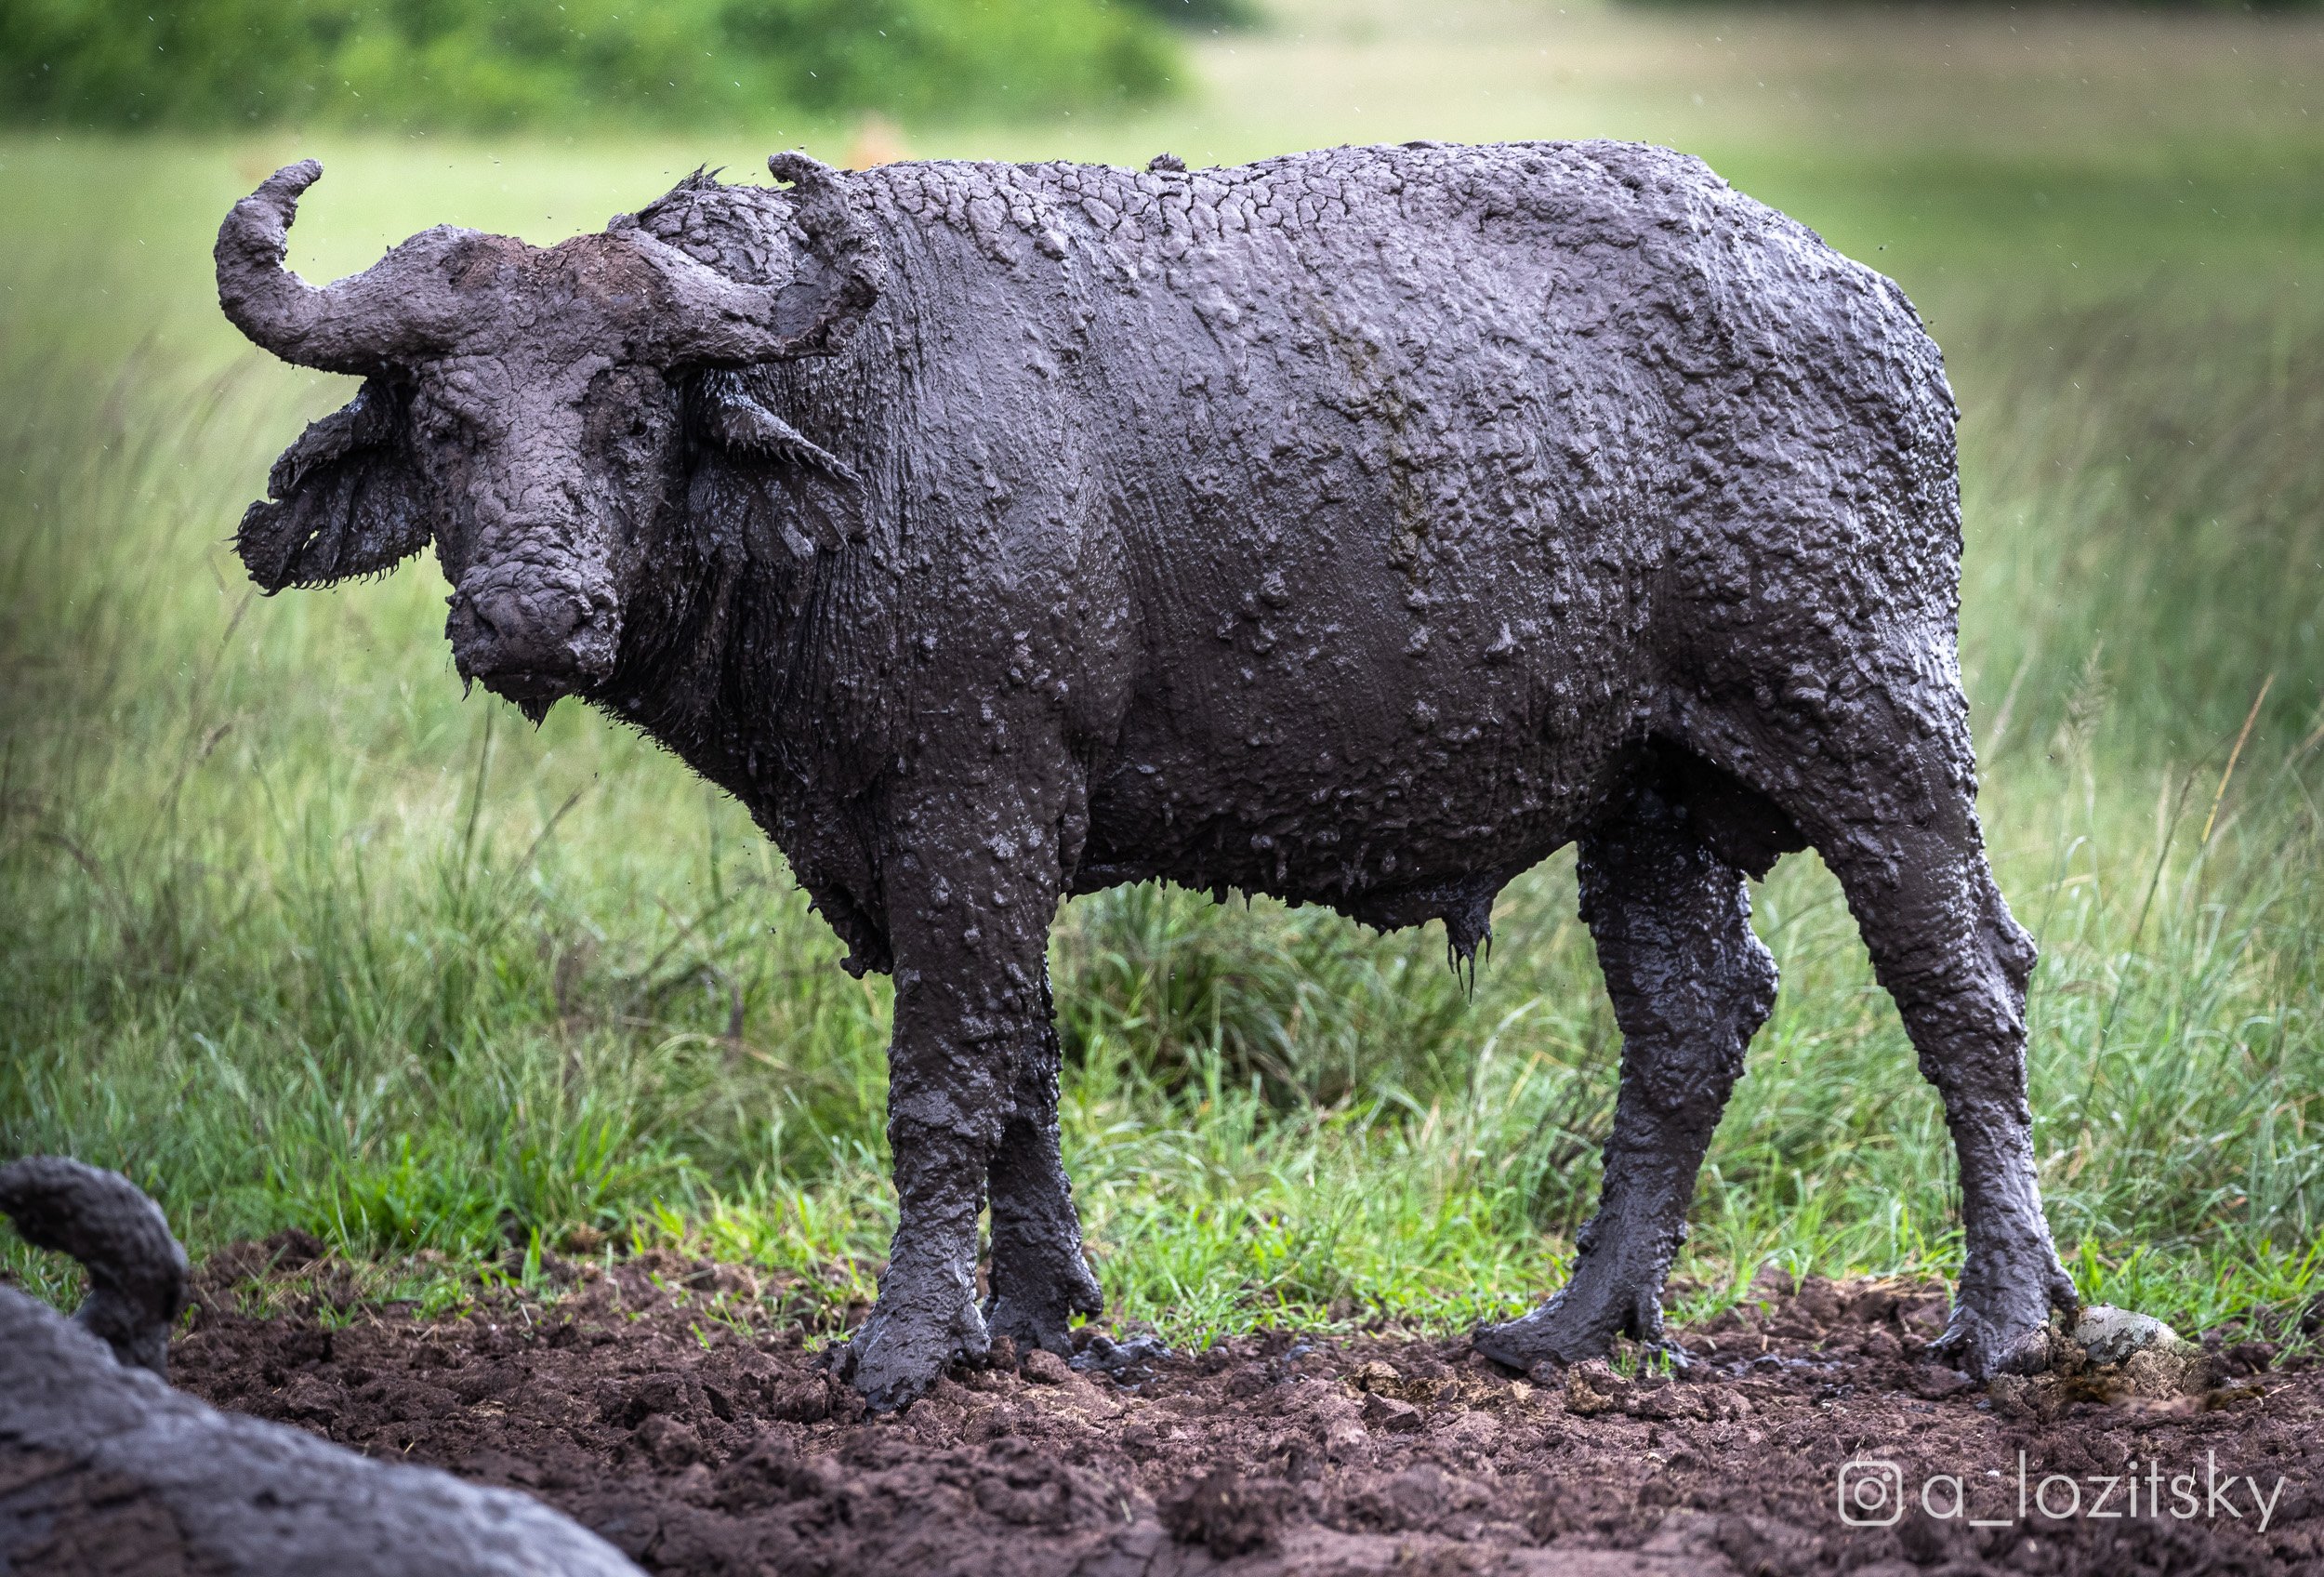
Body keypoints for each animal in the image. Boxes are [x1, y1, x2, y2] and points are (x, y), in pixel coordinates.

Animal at [214, 141, 2073, 1413]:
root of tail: (1867, 305)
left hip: (1874, 723)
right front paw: (1038, 1321)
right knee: (1693, 1018)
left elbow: (942, 1082)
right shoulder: (946, 837)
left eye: (629, 413)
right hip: (1653, 801)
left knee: (1964, 986)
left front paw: (904, 1344)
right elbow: (1023, 1069)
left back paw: (2004, 1319)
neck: (859, 418)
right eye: (446, 419)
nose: (533, 612)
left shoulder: (975, 800)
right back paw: (1573, 1326)